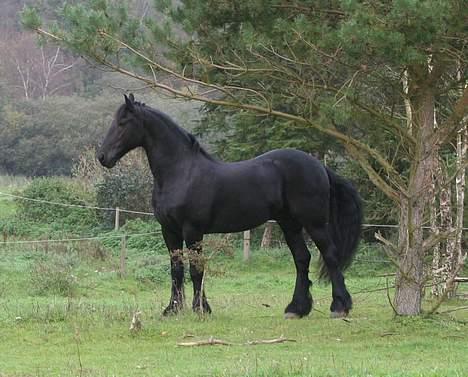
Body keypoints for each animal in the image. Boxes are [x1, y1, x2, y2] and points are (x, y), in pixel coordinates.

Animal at [98, 94, 362, 318]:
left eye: (123, 122)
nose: (102, 157)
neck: (181, 172)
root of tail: (319, 166)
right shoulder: (169, 230)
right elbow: (176, 269)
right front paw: (172, 309)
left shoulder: (192, 230)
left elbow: (196, 269)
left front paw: (201, 309)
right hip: (289, 224)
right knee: (302, 259)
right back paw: (296, 309)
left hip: (314, 223)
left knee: (329, 255)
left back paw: (339, 306)